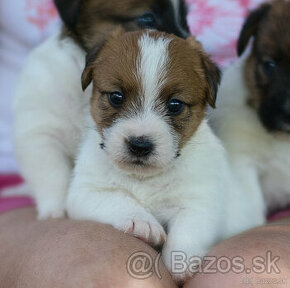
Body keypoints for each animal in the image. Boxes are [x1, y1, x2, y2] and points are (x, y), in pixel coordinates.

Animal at [67, 28, 258, 284]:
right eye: (116, 97)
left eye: (175, 105)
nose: (139, 145)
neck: (144, 178)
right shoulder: (85, 192)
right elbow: (118, 199)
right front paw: (142, 222)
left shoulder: (200, 201)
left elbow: (188, 230)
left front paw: (181, 261)